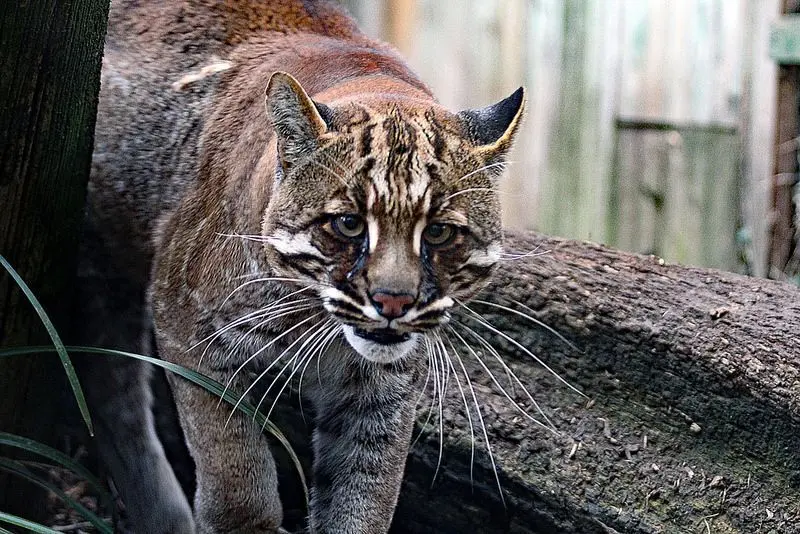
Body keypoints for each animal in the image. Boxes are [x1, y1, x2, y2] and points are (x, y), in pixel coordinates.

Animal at [75, 2, 524, 532]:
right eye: (349, 224)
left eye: (437, 232)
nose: (394, 301)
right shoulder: (189, 329)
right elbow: (236, 476)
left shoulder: (382, 393)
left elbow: (362, 498)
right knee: (111, 389)